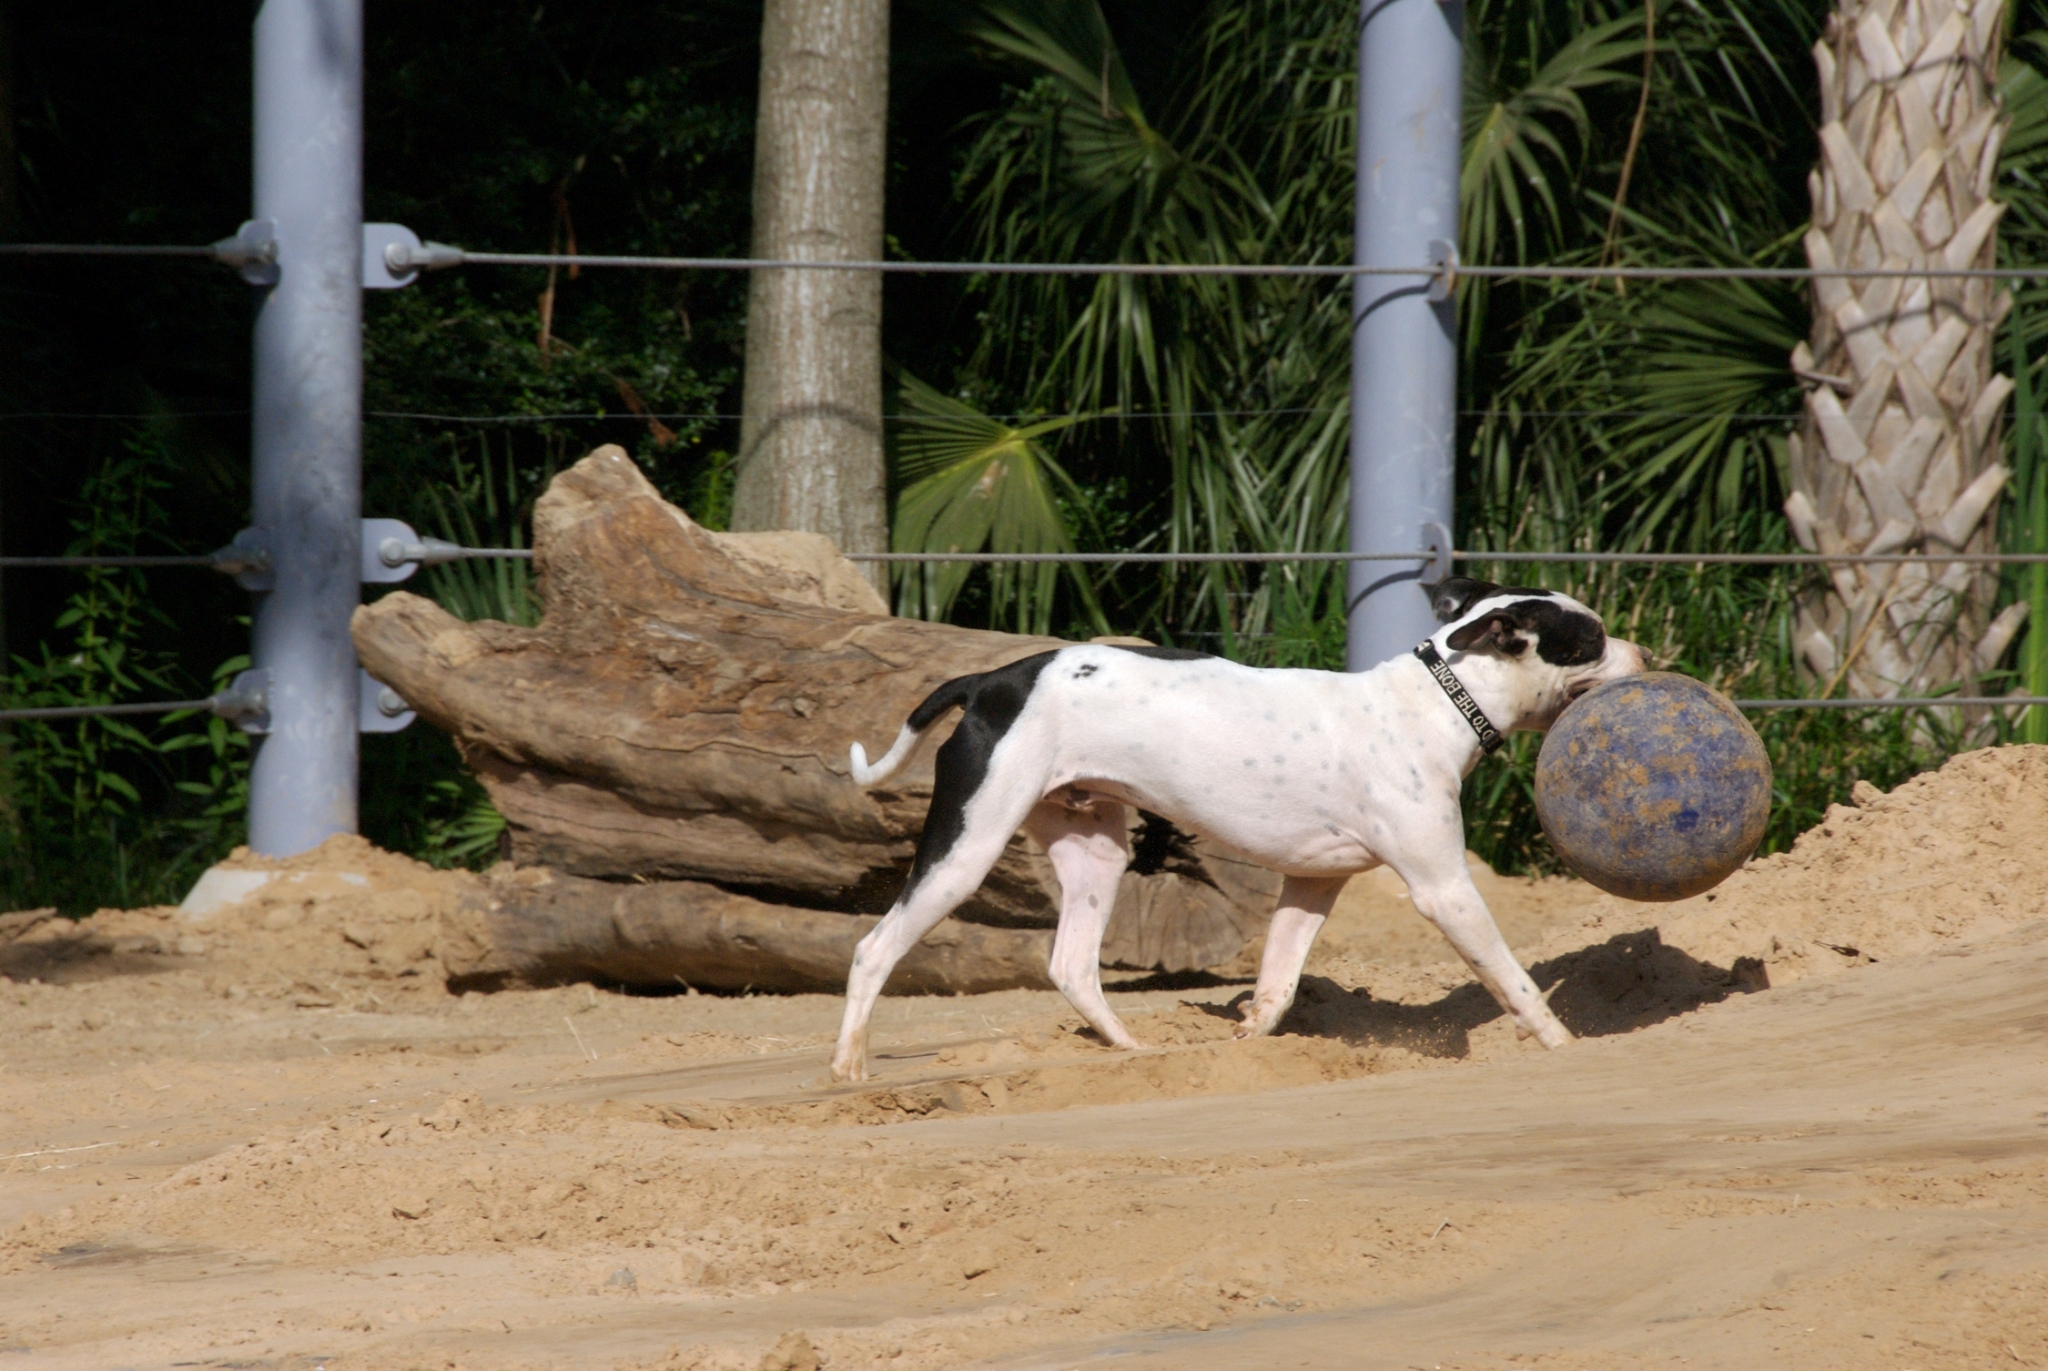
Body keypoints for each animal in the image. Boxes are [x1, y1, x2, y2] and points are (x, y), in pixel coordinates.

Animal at [823, 577, 1638, 1082]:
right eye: (1591, 638)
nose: (1647, 654)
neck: (1438, 699)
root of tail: (993, 681)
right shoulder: (1445, 889)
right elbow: (1515, 980)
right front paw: (1563, 1045)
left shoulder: (1311, 884)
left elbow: (1278, 983)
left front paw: (1248, 1037)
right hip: (966, 850)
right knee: (872, 948)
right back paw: (849, 1065)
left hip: (1096, 852)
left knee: (1072, 966)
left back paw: (1132, 1049)